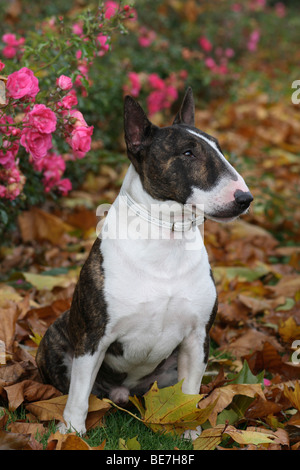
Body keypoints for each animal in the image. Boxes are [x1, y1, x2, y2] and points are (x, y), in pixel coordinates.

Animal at [35, 86, 253, 436]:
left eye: (219, 148)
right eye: (187, 153)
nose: (245, 199)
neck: (167, 237)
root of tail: (123, 394)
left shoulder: (197, 338)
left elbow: (189, 392)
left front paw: (189, 431)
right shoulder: (94, 338)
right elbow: (79, 393)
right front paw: (72, 433)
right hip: (55, 338)